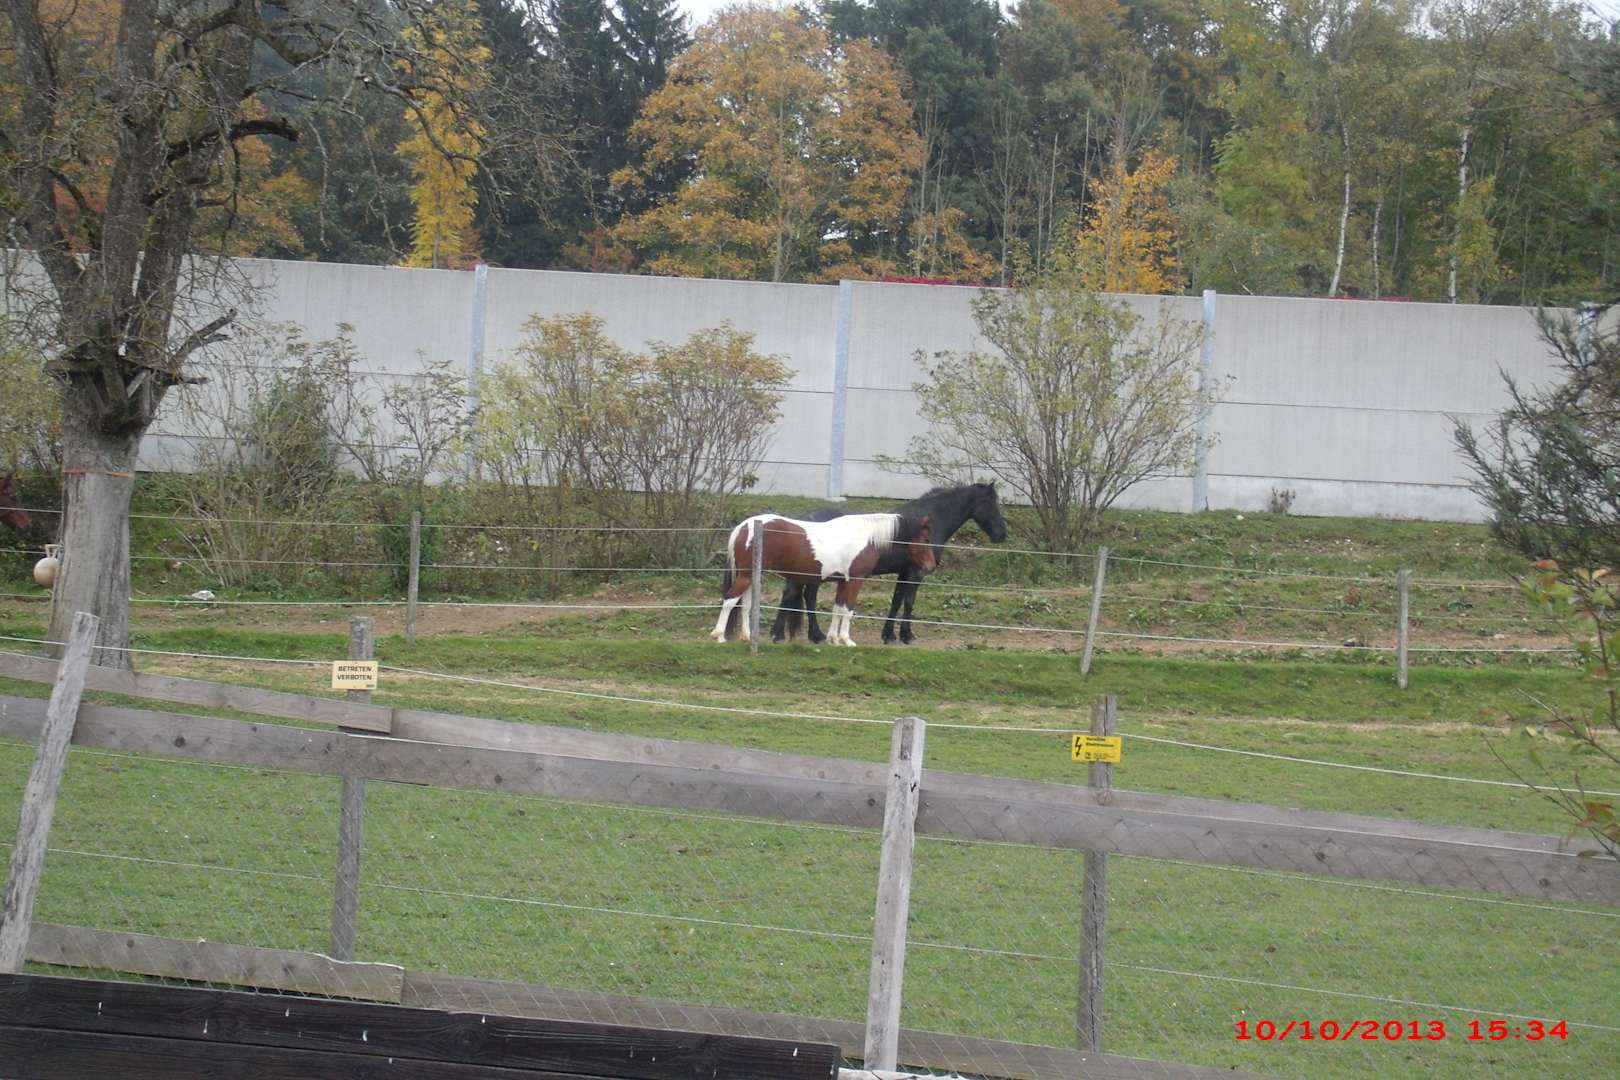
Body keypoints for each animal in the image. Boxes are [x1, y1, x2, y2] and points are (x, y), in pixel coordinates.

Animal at [712, 511, 935, 647]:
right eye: (925, 539)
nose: (931, 566)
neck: (864, 536)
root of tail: (744, 526)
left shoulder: (843, 582)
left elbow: (838, 608)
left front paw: (833, 639)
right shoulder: (855, 580)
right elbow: (848, 610)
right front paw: (846, 640)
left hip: (750, 576)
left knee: (745, 605)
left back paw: (747, 636)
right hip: (746, 575)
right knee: (729, 600)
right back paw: (719, 635)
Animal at [771, 482, 1008, 645]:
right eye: (990, 504)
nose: (1002, 534)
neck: (929, 520)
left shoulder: (903, 573)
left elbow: (896, 601)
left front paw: (888, 635)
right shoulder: (915, 573)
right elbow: (909, 602)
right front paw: (906, 635)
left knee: (801, 596)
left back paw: (803, 634)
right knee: (799, 595)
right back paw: (790, 634)